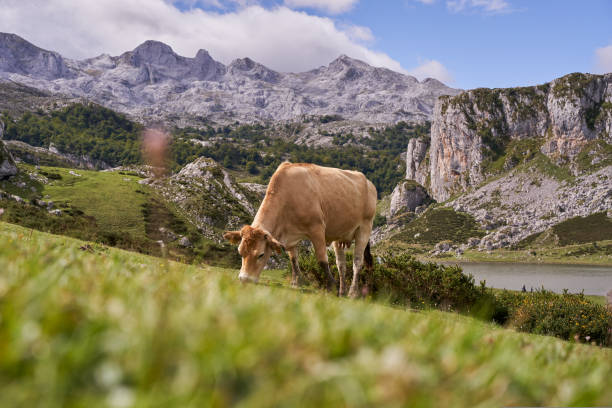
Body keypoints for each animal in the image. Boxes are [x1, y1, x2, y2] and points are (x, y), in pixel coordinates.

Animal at [225, 161, 378, 298]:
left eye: (261, 255)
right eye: (240, 252)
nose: (245, 279)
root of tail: (368, 182)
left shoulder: (317, 228)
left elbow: (322, 260)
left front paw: (331, 287)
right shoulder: (290, 235)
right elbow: (293, 259)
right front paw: (296, 282)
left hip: (365, 227)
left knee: (357, 262)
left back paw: (352, 293)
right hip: (339, 234)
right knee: (341, 264)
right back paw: (342, 291)